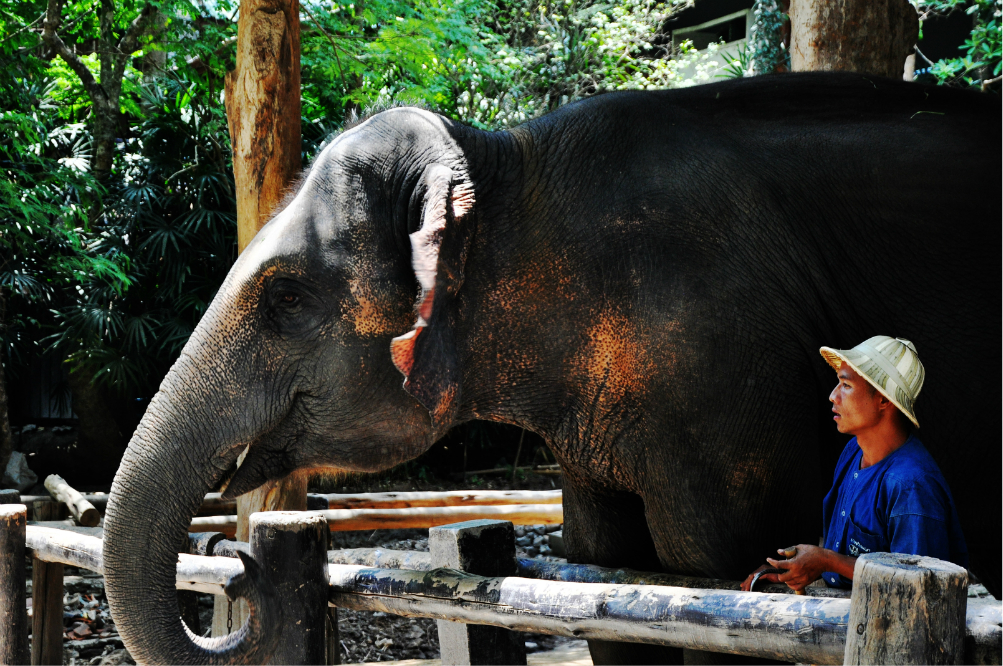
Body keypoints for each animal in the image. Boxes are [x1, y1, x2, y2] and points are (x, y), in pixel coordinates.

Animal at [105, 70, 998, 661]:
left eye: (285, 297)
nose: (239, 566)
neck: (511, 162)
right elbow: (609, 577)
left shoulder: (723, 370)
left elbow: (726, 582)